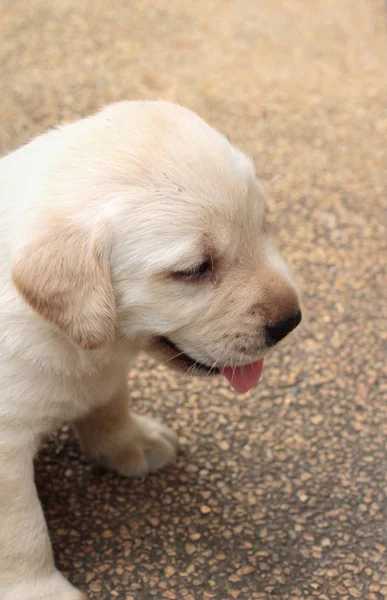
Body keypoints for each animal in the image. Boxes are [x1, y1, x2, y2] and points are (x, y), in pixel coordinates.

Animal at [0, 101, 302, 596]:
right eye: (195, 270)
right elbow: (21, 530)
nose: (290, 321)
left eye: (263, 225)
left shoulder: (104, 373)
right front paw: (39, 589)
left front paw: (128, 441)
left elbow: (109, 399)